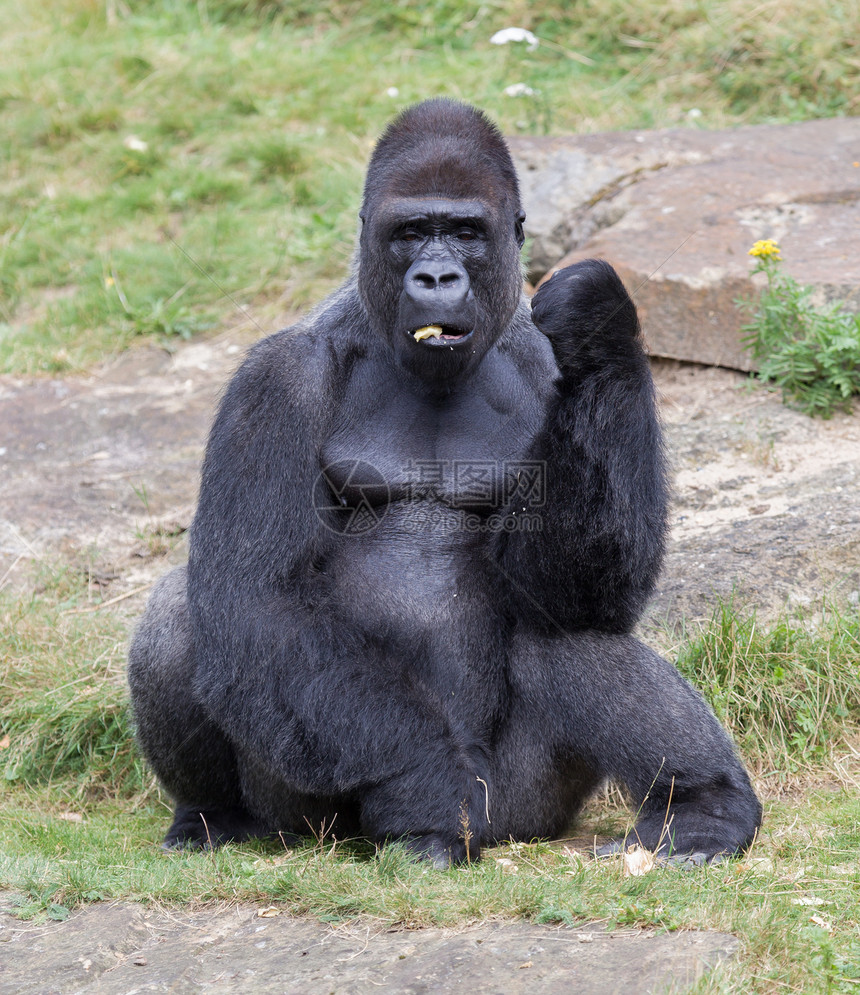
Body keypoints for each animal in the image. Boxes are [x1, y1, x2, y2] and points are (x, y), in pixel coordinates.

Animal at [127, 97, 760, 868]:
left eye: (464, 232)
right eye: (409, 233)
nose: (435, 279)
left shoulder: (540, 363)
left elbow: (573, 586)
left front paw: (601, 328)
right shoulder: (274, 380)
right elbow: (258, 595)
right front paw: (425, 784)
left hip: (519, 810)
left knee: (562, 628)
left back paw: (703, 807)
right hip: (315, 816)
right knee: (181, 614)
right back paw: (218, 815)